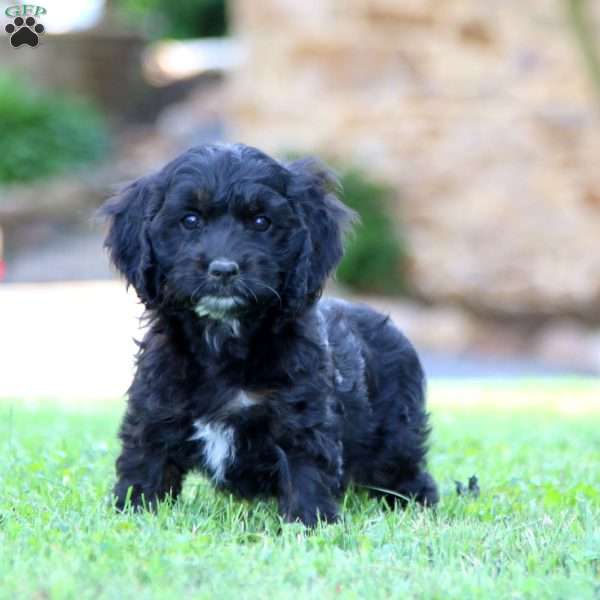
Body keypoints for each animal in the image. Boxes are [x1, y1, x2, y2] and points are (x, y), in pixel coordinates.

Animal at [97, 144, 436, 524]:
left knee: (405, 474)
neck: (224, 337)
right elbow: (145, 465)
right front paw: (132, 513)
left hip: (394, 434)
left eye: (261, 222)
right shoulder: (157, 407)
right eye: (190, 220)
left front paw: (309, 523)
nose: (223, 269)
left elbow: (306, 473)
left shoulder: (300, 417)